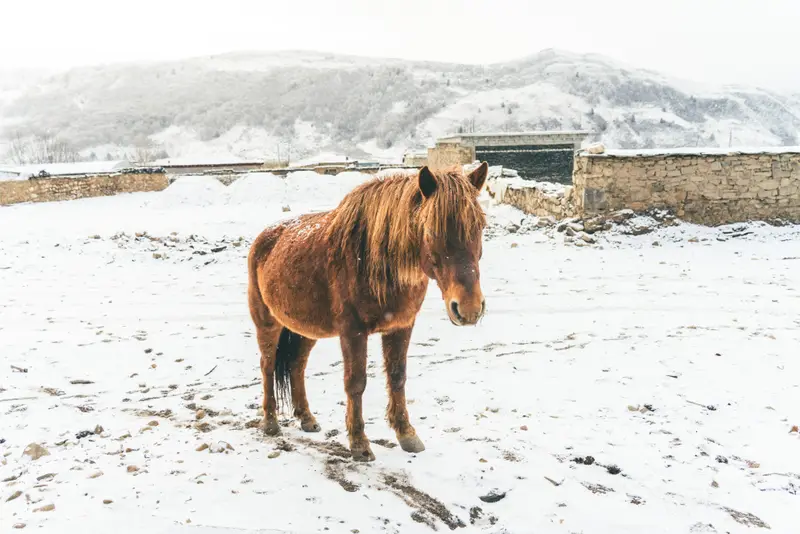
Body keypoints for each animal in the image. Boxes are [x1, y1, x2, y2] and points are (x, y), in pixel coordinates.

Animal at [247, 162, 489, 461]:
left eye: (480, 227)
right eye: (431, 231)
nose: (469, 308)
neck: (375, 261)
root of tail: (264, 238)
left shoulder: (401, 326)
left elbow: (397, 376)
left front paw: (406, 434)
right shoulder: (353, 331)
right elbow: (356, 382)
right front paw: (359, 444)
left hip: (305, 329)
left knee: (296, 365)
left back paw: (306, 418)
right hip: (267, 322)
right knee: (268, 365)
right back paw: (270, 422)